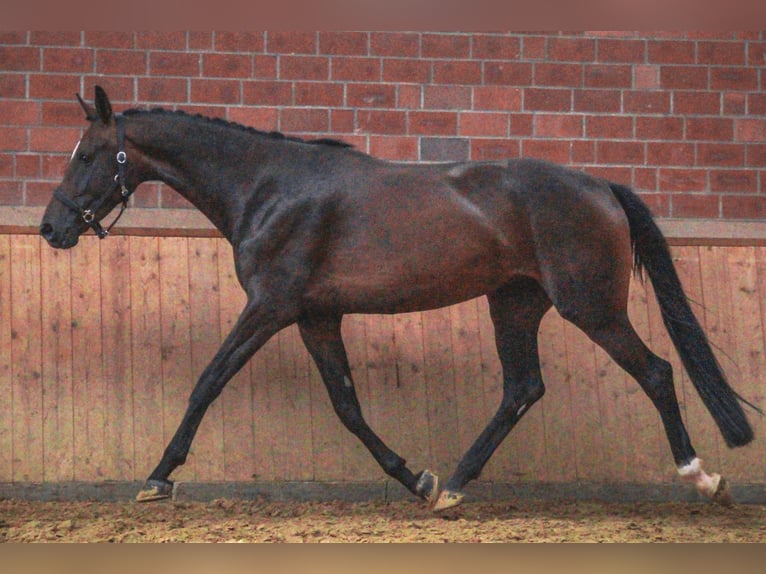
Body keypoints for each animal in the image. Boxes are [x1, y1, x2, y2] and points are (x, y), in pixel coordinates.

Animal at [40, 86, 759, 511]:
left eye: (89, 155)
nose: (51, 228)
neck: (267, 189)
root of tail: (600, 185)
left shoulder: (270, 307)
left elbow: (208, 382)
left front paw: (158, 477)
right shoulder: (316, 316)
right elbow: (347, 406)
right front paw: (416, 478)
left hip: (591, 306)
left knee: (655, 372)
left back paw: (703, 476)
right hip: (515, 302)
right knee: (523, 388)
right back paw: (454, 486)